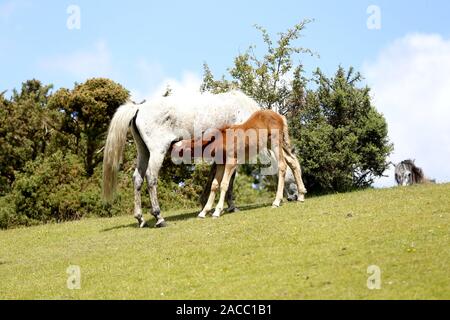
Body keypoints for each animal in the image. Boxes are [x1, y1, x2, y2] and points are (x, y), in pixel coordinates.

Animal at [101, 90, 260, 228]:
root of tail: (139, 108)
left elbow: (214, 177)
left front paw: (205, 205)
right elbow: (229, 180)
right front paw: (230, 207)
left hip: (143, 152)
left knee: (137, 179)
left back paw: (141, 219)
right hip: (157, 152)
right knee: (151, 178)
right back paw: (159, 218)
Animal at [176, 109, 306, 218]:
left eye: (181, 149)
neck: (220, 139)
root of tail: (280, 116)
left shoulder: (231, 161)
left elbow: (224, 184)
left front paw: (217, 211)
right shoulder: (221, 163)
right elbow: (214, 185)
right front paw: (204, 212)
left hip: (275, 143)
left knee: (282, 165)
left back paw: (277, 201)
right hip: (273, 144)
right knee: (292, 161)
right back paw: (301, 195)